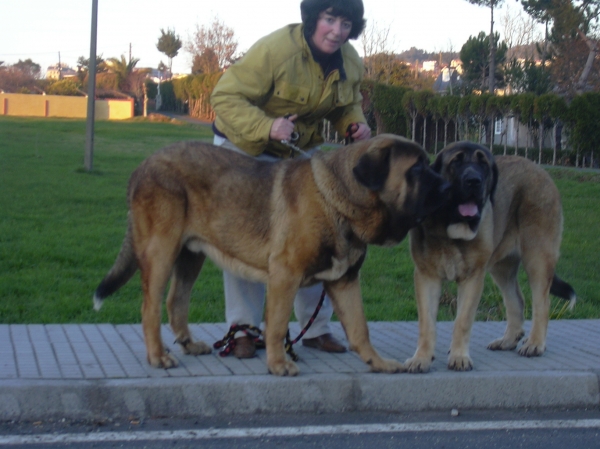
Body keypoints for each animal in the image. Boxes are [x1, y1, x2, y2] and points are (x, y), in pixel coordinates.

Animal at [94, 133, 450, 374]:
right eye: (417, 169)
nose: (446, 185)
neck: (338, 201)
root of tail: (142, 167)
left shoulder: (345, 281)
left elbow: (360, 327)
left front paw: (378, 362)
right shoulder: (285, 275)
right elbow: (277, 326)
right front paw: (278, 364)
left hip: (190, 255)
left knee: (175, 301)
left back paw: (189, 345)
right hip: (161, 252)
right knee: (150, 308)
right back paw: (158, 356)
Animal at [406, 142, 576, 372]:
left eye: (484, 164)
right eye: (456, 161)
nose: (474, 180)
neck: (450, 227)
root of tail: (539, 168)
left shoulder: (472, 277)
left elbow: (462, 321)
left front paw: (459, 357)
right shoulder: (426, 276)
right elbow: (426, 322)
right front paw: (421, 358)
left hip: (538, 257)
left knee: (542, 302)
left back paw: (534, 343)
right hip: (502, 267)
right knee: (516, 300)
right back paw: (508, 340)